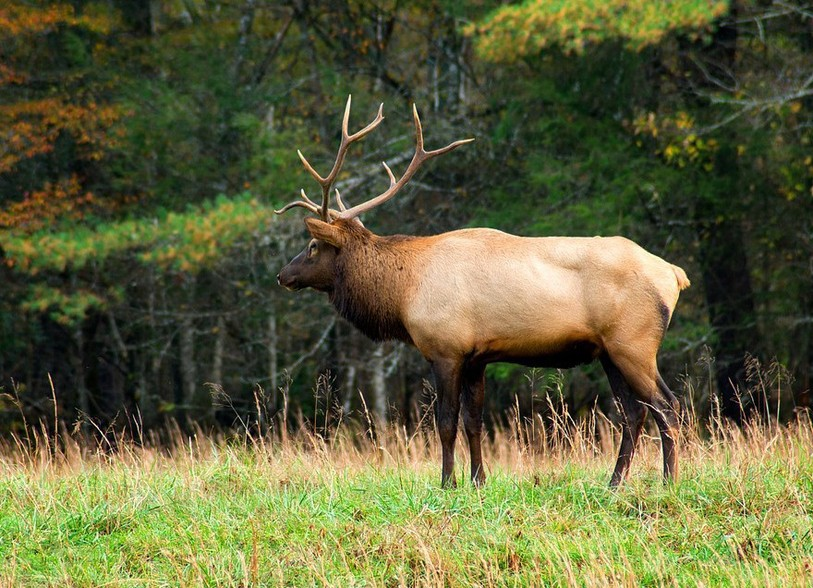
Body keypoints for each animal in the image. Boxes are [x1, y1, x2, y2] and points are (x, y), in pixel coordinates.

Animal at [275, 96, 690, 488]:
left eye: (312, 246)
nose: (282, 275)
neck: (403, 292)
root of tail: (674, 275)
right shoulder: (477, 356)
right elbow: (474, 422)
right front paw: (478, 479)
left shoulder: (445, 349)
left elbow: (446, 422)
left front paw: (447, 482)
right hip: (608, 351)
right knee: (634, 412)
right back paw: (614, 483)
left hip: (633, 343)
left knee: (667, 406)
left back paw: (668, 481)